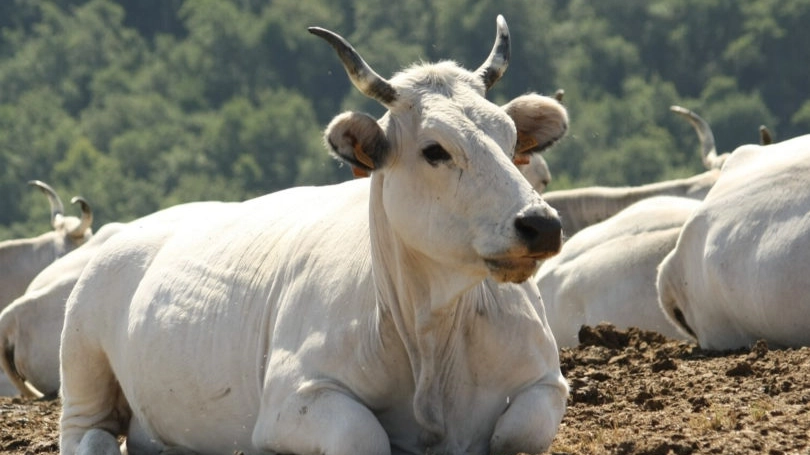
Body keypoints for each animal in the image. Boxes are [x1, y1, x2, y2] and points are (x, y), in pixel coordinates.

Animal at [60, 15, 568, 455]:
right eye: (434, 150)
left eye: (510, 140)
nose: (542, 224)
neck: (431, 334)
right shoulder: (292, 398)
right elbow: (364, 435)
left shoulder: (547, 381)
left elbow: (515, 433)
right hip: (82, 356)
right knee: (86, 432)